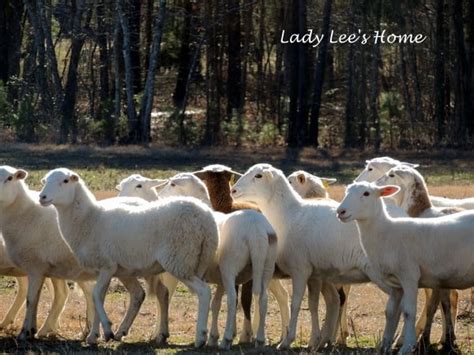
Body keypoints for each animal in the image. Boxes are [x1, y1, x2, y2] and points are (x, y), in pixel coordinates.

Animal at [39, 168, 218, 350]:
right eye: (45, 181)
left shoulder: (107, 266)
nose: (42, 197)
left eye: (65, 181)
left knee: (204, 292)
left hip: (180, 260)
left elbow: (96, 295)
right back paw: (152, 333)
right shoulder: (104, 269)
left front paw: (107, 329)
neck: (90, 219)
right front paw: (94, 336)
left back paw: (200, 337)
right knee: (150, 293)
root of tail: (207, 220)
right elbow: (99, 298)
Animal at [124, 173, 280, 350]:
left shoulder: (175, 270)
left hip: (229, 268)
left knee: (233, 299)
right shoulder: (218, 279)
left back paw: (226, 340)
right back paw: (259, 339)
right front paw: (213, 337)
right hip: (266, 268)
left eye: (173, 184)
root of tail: (257, 233)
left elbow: (166, 297)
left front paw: (161, 333)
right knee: (263, 299)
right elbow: (215, 303)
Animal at [230, 164, 388, 350]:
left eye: (259, 176)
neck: (288, 214)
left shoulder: (300, 269)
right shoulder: (315, 274)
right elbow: (314, 304)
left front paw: (287, 340)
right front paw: (315, 341)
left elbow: (296, 303)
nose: (233, 190)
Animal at [336, 182, 474, 354]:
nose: (340, 211)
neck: (386, 233)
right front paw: (385, 345)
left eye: (366, 193)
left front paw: (407, 346)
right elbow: (390, 312)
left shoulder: (409, 277)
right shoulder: (395, 285)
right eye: (347, 191)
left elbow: (408, 312)